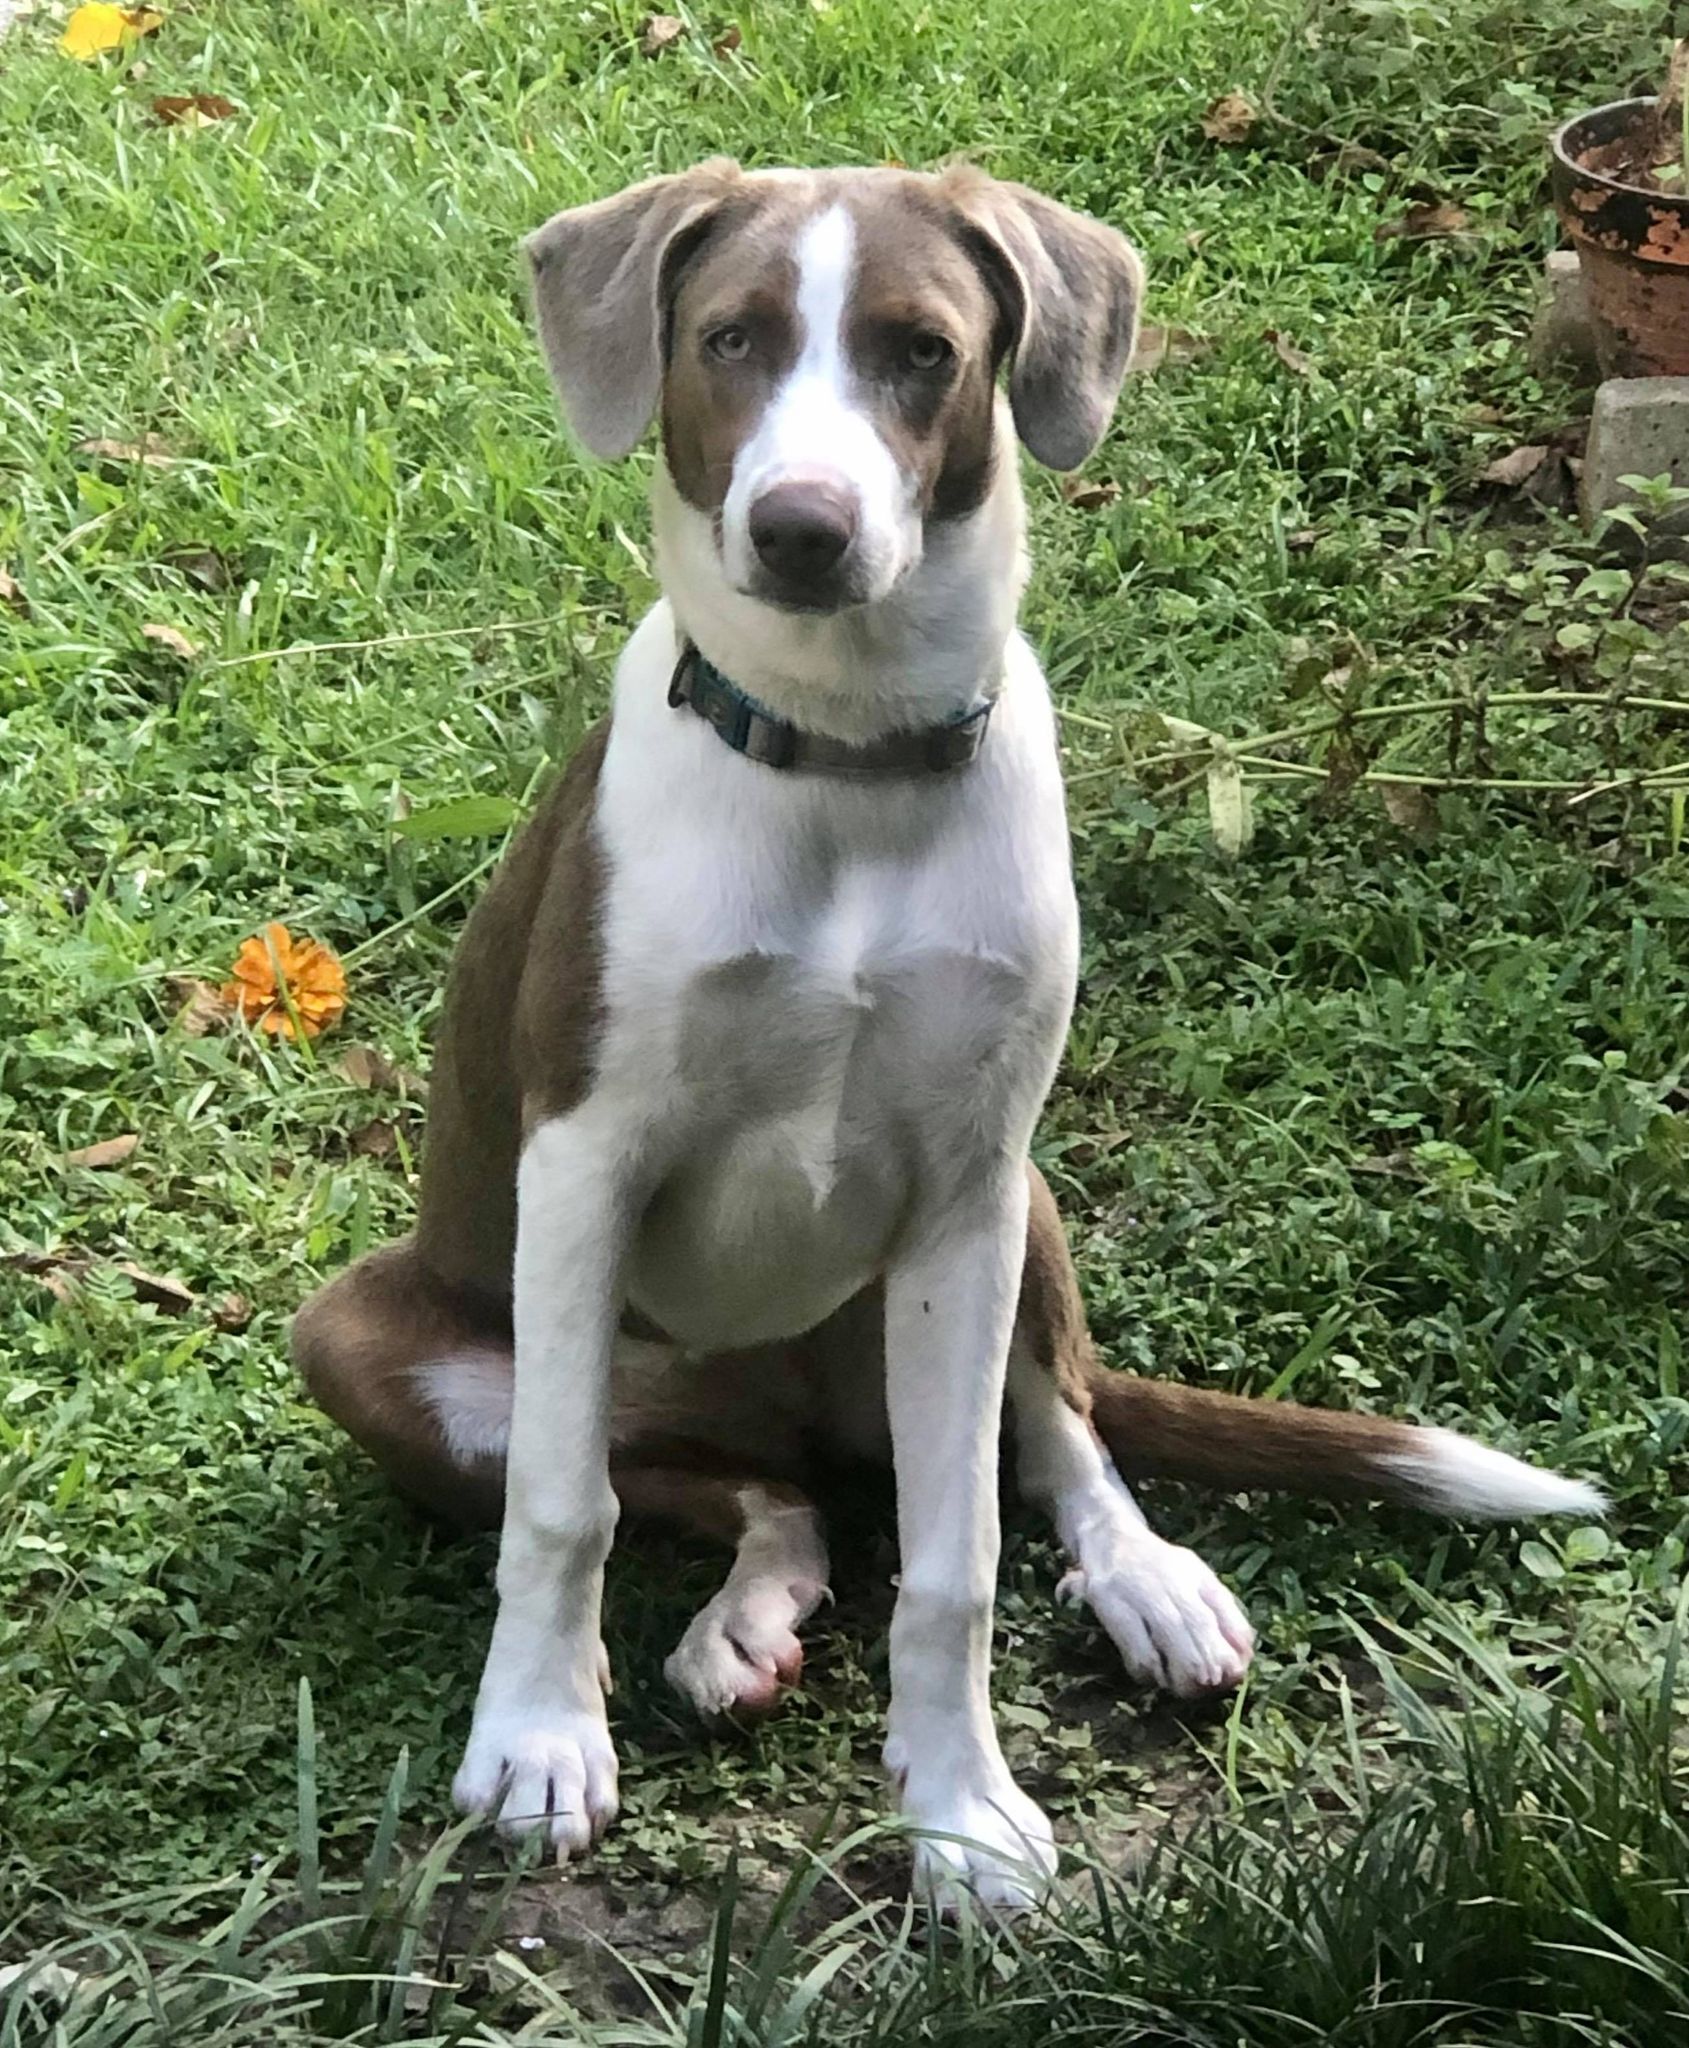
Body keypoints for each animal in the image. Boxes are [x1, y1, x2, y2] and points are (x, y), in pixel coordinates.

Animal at [296, 163, 1605, 1916]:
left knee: (1052, 1429)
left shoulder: (963, 1195)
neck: (845, 764)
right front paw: (537, 1740)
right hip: (380, 1335)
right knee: (742, 1493)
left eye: (923, 351)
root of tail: (778, 1404)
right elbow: (562, 1509)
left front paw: (961, 1810)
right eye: (729, 339)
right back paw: (748, 1613)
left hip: (1021, 1209)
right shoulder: (579, 1169)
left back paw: (1140, 1581)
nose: (802, 528)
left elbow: (959, 1556)